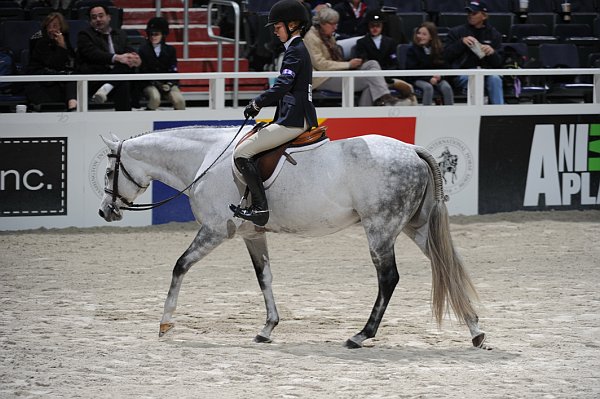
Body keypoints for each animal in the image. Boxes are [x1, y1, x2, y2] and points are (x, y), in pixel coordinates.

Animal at [98, 126, 490, 350]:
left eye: (108, 171)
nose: (105, 212)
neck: (205, 159)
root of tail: (412, 150)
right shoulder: (252, 234)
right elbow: (264, 278)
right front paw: (267, 328)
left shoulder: (215, 231)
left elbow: (180, 265)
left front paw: (165, 324)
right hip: (414, 227)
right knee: (448, 267)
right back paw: (475, 330)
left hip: (380, 228)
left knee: (389, 278)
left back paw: (361, 335)